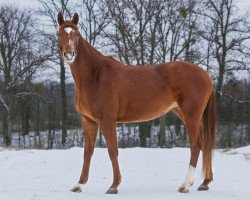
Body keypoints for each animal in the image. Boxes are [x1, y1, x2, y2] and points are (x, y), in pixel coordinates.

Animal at [56, 12, 217, 194]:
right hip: (186, 114)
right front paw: (79, 184)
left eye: (76, 34)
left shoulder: (107, 120)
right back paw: (204, 183)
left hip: (192, 116)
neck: (94, 75)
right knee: (205, 145)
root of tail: (206, 75)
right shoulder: (89, 121)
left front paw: (114, 185)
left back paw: (185, 185)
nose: (69, 54)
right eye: (59, 33)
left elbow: (112, 151)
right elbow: (87, 152)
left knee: (196, 146)